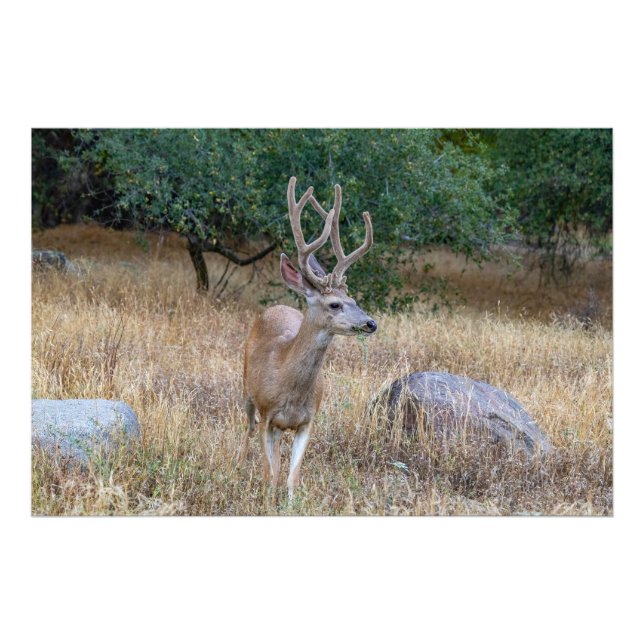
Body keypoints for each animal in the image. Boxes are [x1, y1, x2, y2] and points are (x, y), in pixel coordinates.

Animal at [238, 176, 377, 502]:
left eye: (353, 299)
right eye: (335, 304)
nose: (371, 323)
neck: (290, 387)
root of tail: (276, 307)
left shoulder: (307, 421)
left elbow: (291, 477)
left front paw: (289, 505)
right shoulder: (267, 414)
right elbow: (269, 474)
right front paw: (266, 503)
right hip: (246, 390)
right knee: (246, 429)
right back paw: (235, 466)